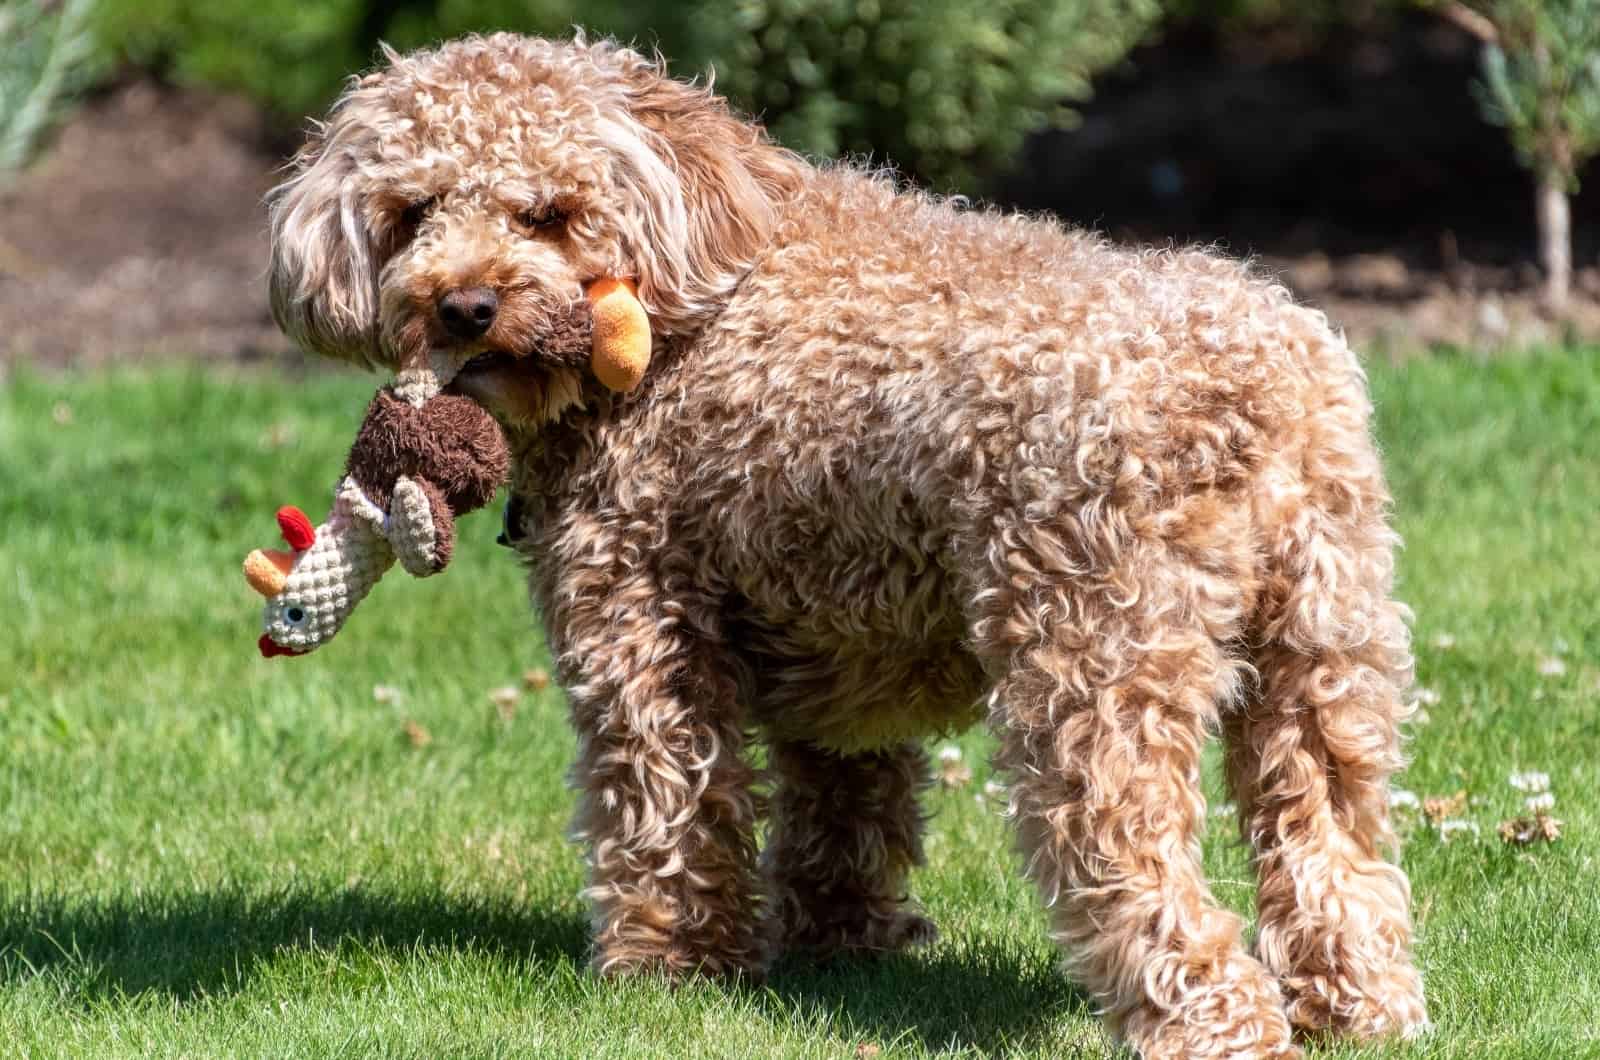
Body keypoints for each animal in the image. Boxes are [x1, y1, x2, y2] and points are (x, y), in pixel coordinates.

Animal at [268, 33, 1433, 1060]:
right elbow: (843, 797)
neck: (694, 284)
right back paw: (1361, 1007)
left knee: (1141, 866)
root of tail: (1245, 386)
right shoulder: (838, 635)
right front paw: (842, 942)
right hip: (1324, 646)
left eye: (547, 214)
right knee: (1333, 840)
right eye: (412, 212)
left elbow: (666, 808)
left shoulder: (639, 615)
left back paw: (1211, 1024)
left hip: (1094, 652)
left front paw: (671, 968)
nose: (462, 305)